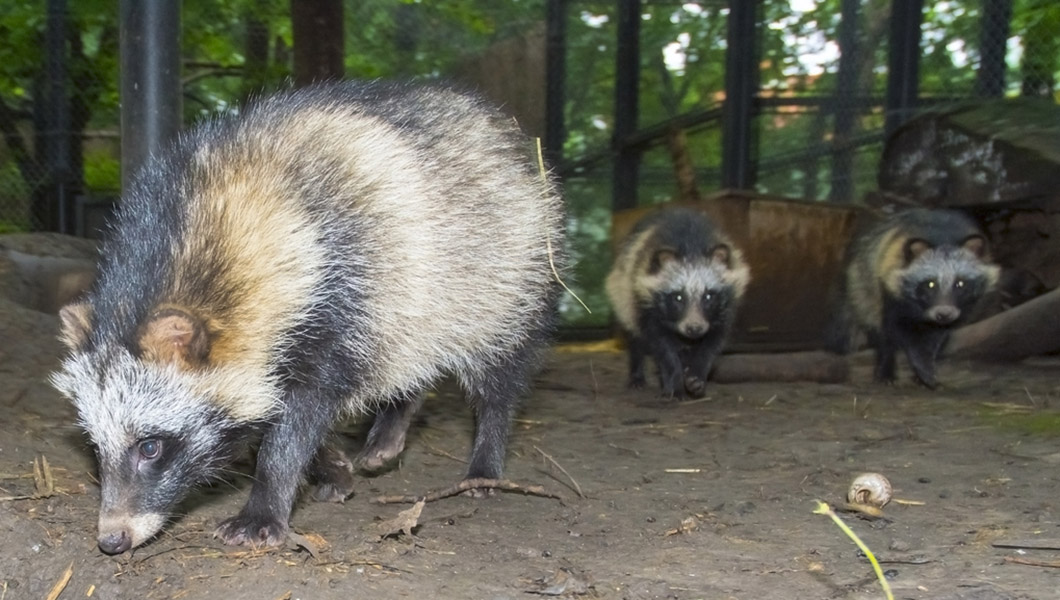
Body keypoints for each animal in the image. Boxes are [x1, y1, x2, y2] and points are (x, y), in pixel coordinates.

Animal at [51, 80, 566, 554]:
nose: (112, 540)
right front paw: (328, 464)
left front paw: (268, 495)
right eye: (94, 446)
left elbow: (300, 416)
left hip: (509, 269)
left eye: (150, 446)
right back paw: (394, 421)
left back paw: (485, 457)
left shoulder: (340, 290)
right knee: (407, 351)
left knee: (499, 366)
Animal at [605, 207, 750, 399]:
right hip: (623, 294)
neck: (691, 246)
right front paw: (674, 380)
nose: (694, 328)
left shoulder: (725, 309)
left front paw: (697, 374)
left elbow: (712, 343)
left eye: (708, 296)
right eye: (678, 297)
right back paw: (638, 375)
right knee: (635, 336)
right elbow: (662, 346)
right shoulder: (646, 303)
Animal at [833, 208, 999, 388]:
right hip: (862, 285)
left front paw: (927, 361)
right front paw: (920, 363)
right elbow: (899, 330)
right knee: (878, 326)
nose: (944, 314)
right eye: (930, 284)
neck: (944, 237)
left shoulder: (961, 308)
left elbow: (938, 336)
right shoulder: (889, 287)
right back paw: (886, 365)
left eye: (960, 284)